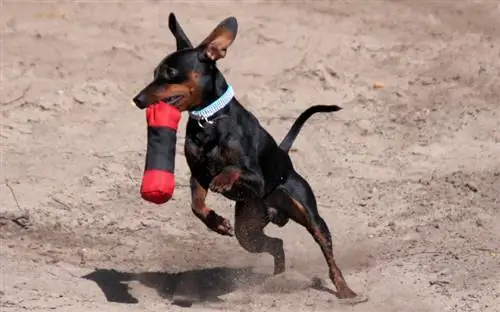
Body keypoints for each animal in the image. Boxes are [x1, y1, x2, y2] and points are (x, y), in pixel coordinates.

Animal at [135, 12, 366, 302]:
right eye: (155, 73)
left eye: (170, 74)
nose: (137, 99)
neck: (209, 120)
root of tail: (284, 155)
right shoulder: (197, 175)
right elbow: (196, 206)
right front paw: (217, 223)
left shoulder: (255, 178)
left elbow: (234, 168)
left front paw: (223, 180)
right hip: (248, 231)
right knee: (277, 244)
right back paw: (277, 279)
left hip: (310, 216)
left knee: (327, 253)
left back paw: (345, 289)